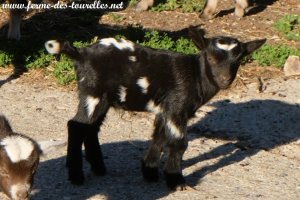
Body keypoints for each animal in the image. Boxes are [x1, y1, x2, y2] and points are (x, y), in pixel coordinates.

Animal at [44, 27, 264, 190]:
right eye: (210, 58)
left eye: (238, 60)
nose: (225, 80)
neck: (195, 75)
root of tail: (80, 54)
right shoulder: (177, 107)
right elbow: (178, 143)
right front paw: (176, 180)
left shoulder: (164, 109)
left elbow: (159, 137)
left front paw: (149, 171)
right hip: (93, 92)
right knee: (76, 126)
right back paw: (76, 176)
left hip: (102, 98)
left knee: (90, 128)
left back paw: (98, 168)